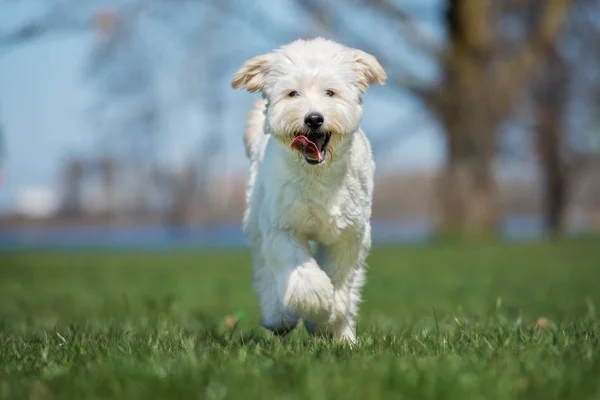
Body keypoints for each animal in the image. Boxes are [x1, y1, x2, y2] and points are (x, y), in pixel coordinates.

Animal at [230, 38, 384, 344]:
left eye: (330, 92)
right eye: (293, 93)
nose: (313, 119)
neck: (316, 174)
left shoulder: (350, 234)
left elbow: (339, 275)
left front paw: (329, 315)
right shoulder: (282, 227)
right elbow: (301, 273)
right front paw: (316, 301)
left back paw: (343, 336)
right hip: (256, 222)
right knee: (266, 275)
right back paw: (280, 317)